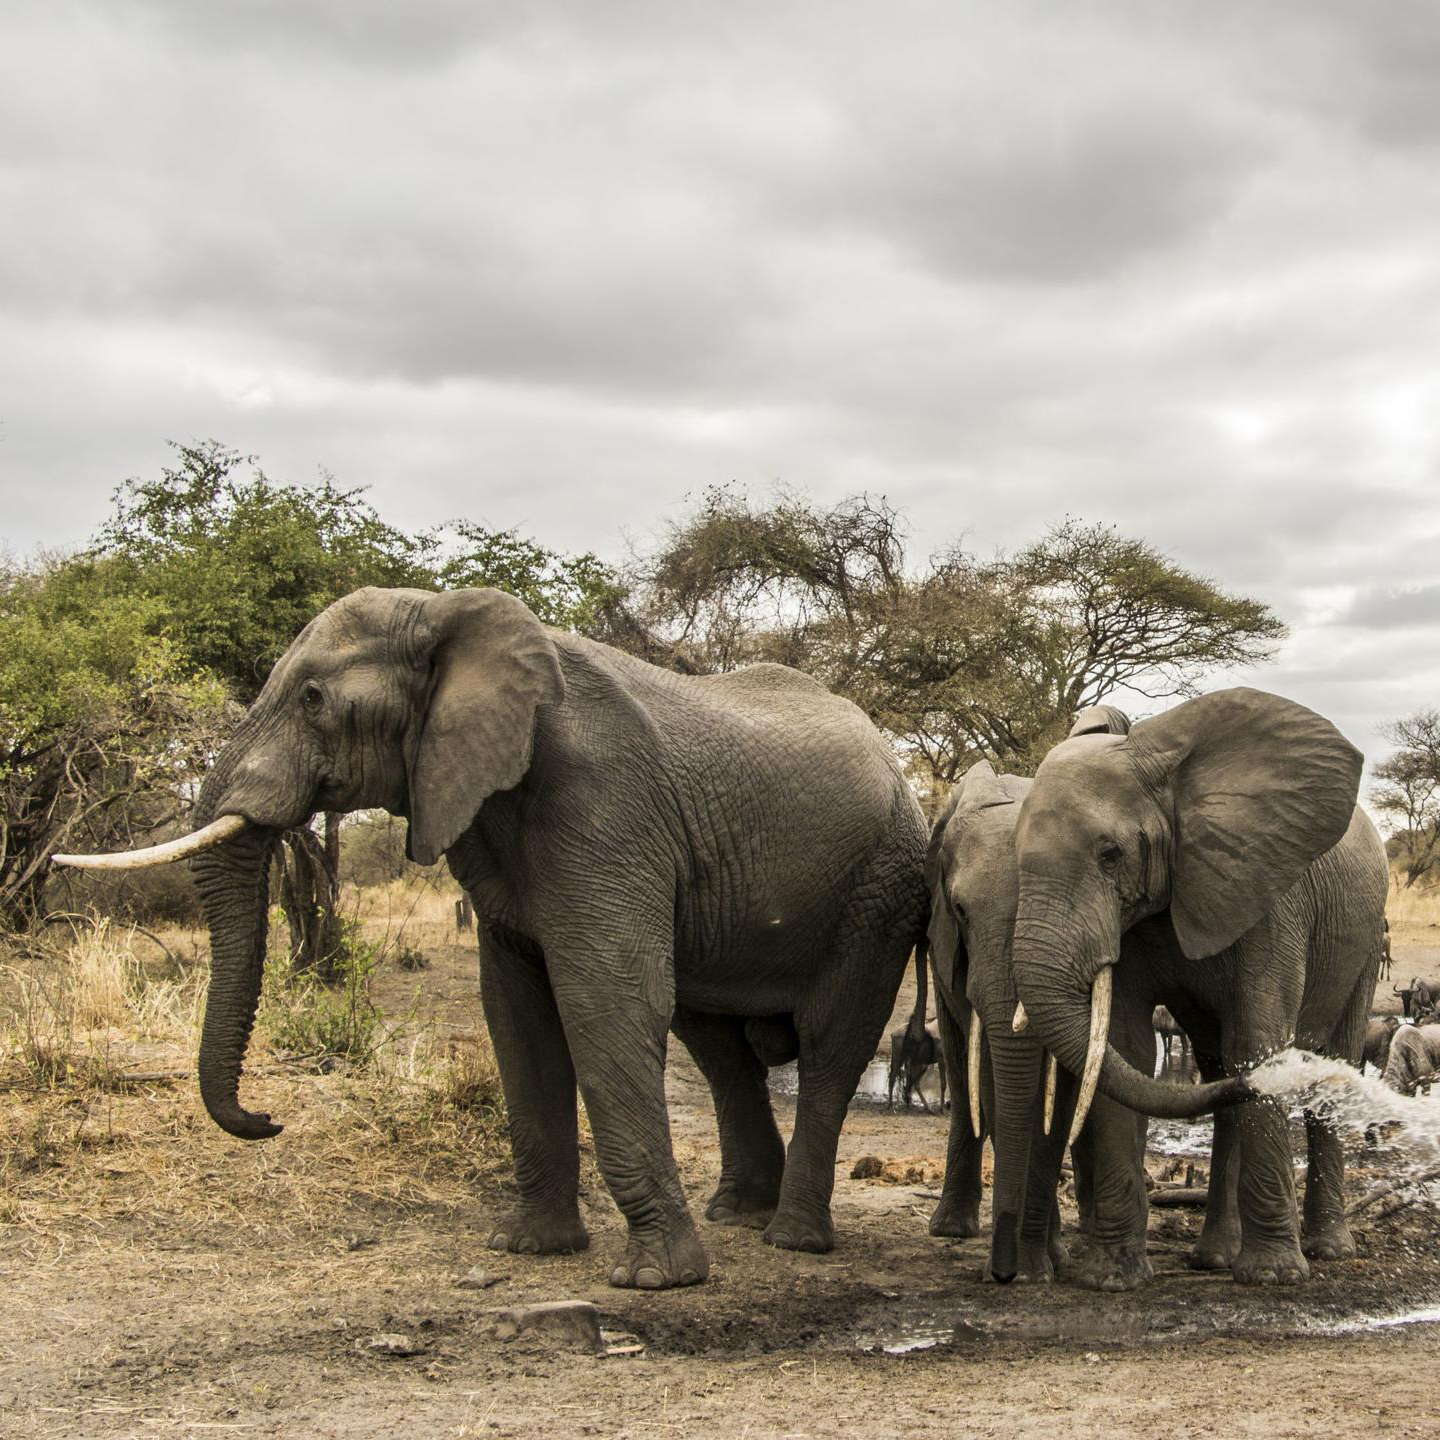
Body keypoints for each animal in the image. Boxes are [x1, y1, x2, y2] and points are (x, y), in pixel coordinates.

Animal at [56, 590, 927, 1290]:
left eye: (312, 698)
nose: (266, 1120)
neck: (445, 613)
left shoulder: (605, 807)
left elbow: (606, 999)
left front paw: (656, 1281)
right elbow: (516, 1014)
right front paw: (529, 1249)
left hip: (880, 889)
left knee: (831, 1043)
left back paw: (792, 1240)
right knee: (716, 1047)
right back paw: (739, 1217)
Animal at [1008, 682, 1388, 1284]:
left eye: (1110, 855)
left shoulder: (1271, 896)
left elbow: (1259, 1040)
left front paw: (1274, 1277)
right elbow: (1126, 1046)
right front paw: (1111, 1279)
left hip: (1368, 936)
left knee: (1330, 1057)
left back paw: (1326, 1250)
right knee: (1220, 1069)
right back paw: (1214, 1257)